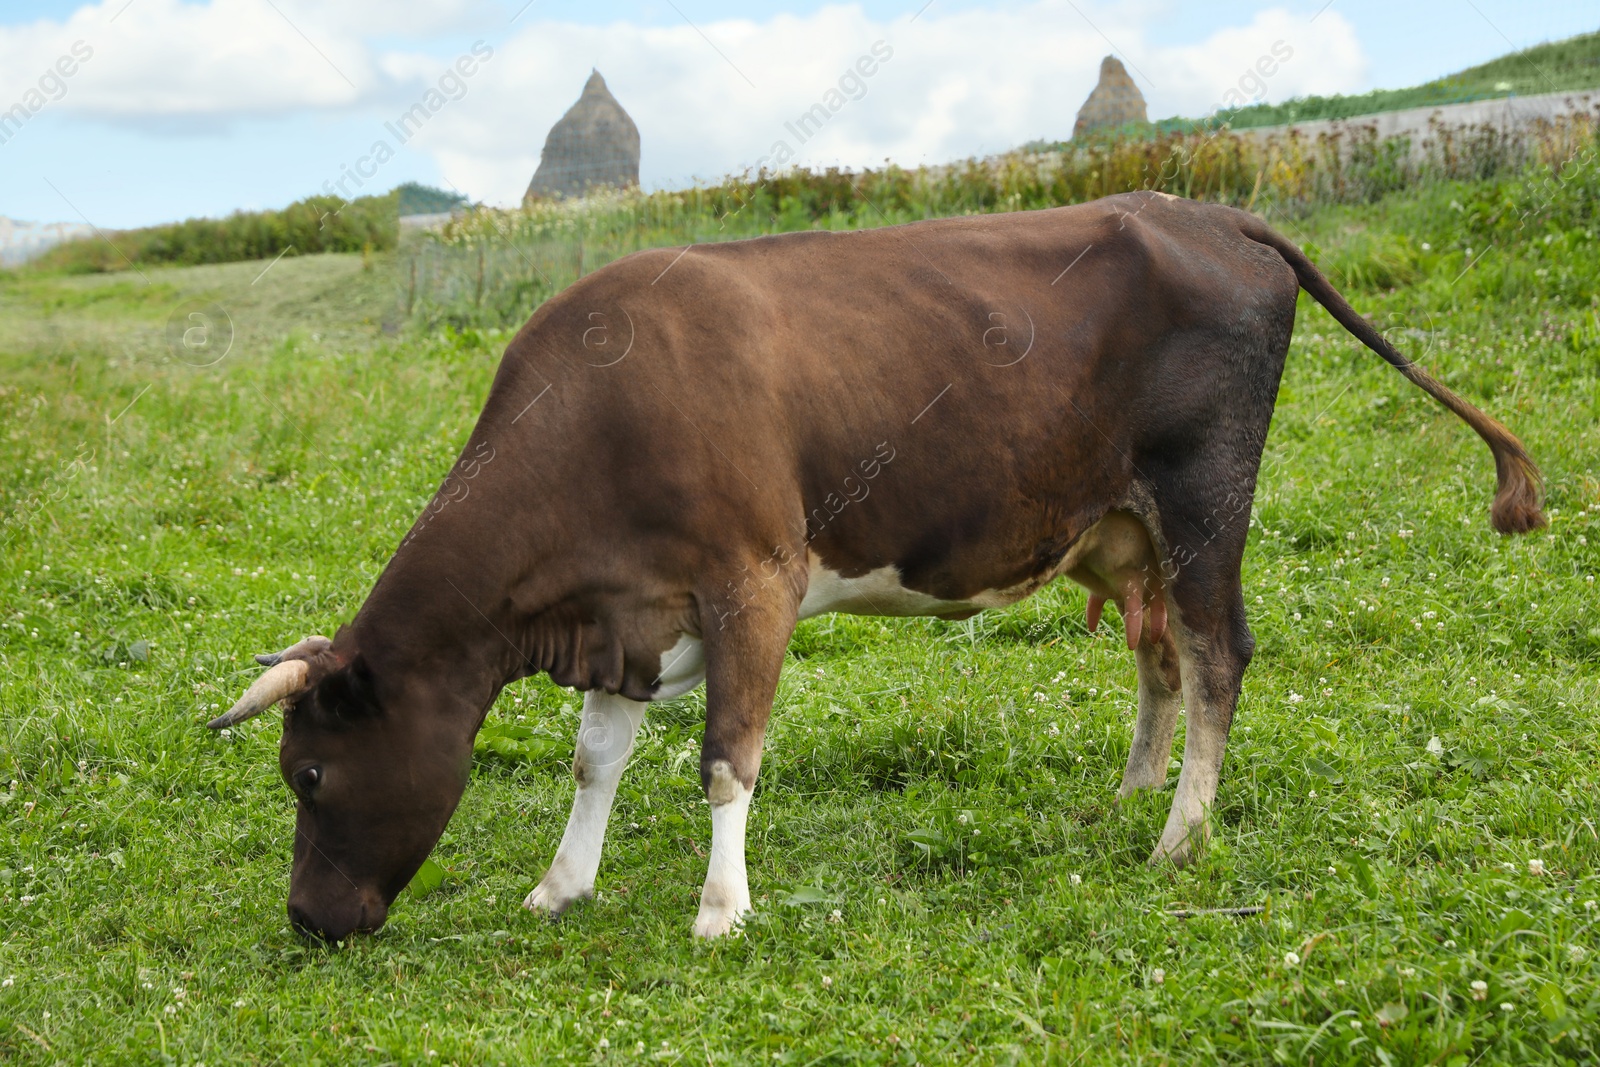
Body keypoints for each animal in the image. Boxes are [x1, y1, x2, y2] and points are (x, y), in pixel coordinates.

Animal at [206, 194, 1542, 940]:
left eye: (310, 772)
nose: (306, 921)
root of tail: (1208, 211)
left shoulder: (752, 580)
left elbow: (725, 760)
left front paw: (721, 909)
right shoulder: (627, 609)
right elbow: (596, 757)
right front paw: (558, 887)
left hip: (1205, 496)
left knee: (1218, 656)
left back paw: (1179, 835)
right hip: (1123, 524)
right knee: (1159, 655)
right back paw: (1127, 797)